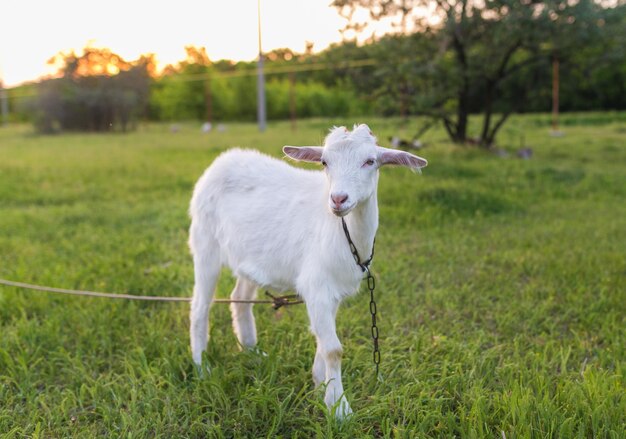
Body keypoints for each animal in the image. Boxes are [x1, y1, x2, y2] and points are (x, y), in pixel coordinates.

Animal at [188, 124, 426, 420]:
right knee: (200, 306)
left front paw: (319, 388)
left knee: (239, 298)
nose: (338, 199)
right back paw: (202, 368)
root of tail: (221, 162)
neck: (344, 232)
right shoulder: (316, 286)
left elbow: (324, 344)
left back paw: (252, 353)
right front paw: (340, 410)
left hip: (248, 257)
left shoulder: (332, 292)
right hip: (205, 242)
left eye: (370, 161)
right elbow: (334, 349)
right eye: (324, 162)